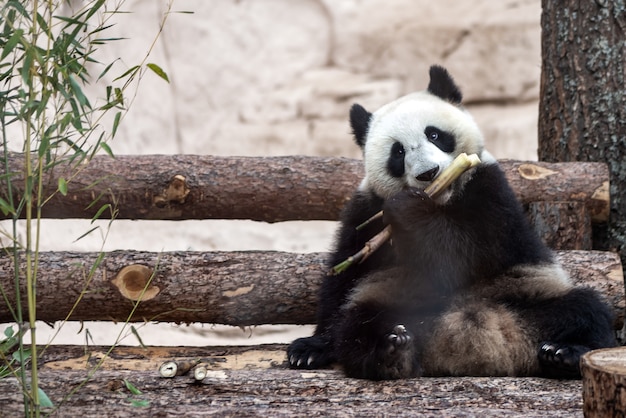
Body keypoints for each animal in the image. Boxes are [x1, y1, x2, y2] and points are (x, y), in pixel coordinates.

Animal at [286, 64, 616, 378]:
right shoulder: (366, 211)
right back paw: (392, 353)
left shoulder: (490, 189)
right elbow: (345, 276)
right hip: (396, 303)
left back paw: (564, 354)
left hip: (531, 293)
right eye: (398, 152)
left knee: (588, 310)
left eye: (434, 134)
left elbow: (470, 254)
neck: (440, 200)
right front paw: (310, 348)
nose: (428, 174)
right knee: (356, 326)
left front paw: (408, 211)